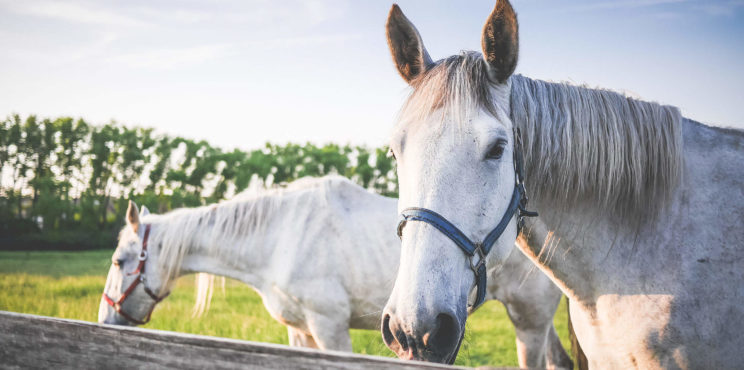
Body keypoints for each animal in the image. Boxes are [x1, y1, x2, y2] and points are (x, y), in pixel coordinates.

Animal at [99, 176, 568, 368]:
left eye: (120, 262)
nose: (104, 321)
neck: (279, 235)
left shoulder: (330, 329)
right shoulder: (299, 332)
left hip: (529, 321)